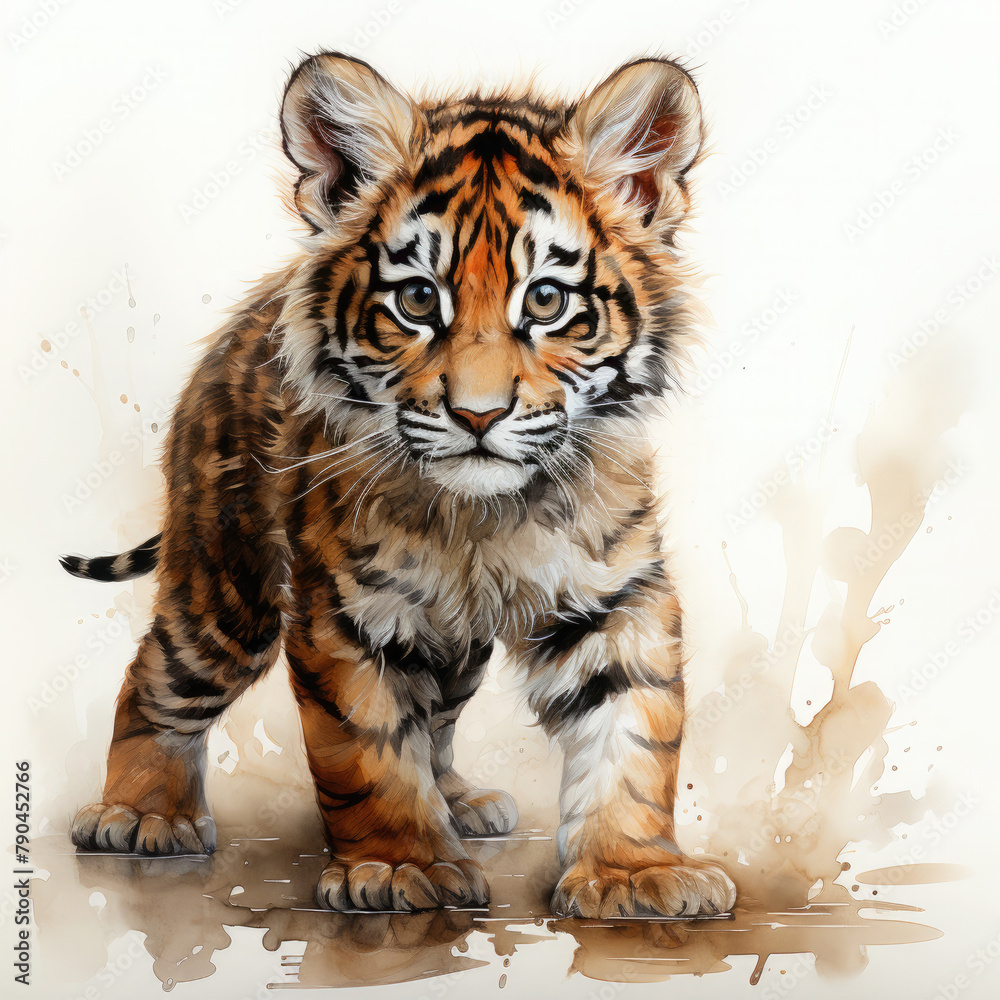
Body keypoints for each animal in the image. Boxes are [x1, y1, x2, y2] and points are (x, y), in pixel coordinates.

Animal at [61, 51, 737, 919]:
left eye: (546, 300)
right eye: (418, 299)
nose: (478, 414)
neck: (485, 515)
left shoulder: (615, 596)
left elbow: (635, 734)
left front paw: (634, 871)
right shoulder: (343, 613)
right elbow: (366, 750)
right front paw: (397, 866)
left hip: (446, 647)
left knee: (436, 718)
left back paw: (461, 801)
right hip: (227, 590)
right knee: (154, 680)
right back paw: (142, 813)